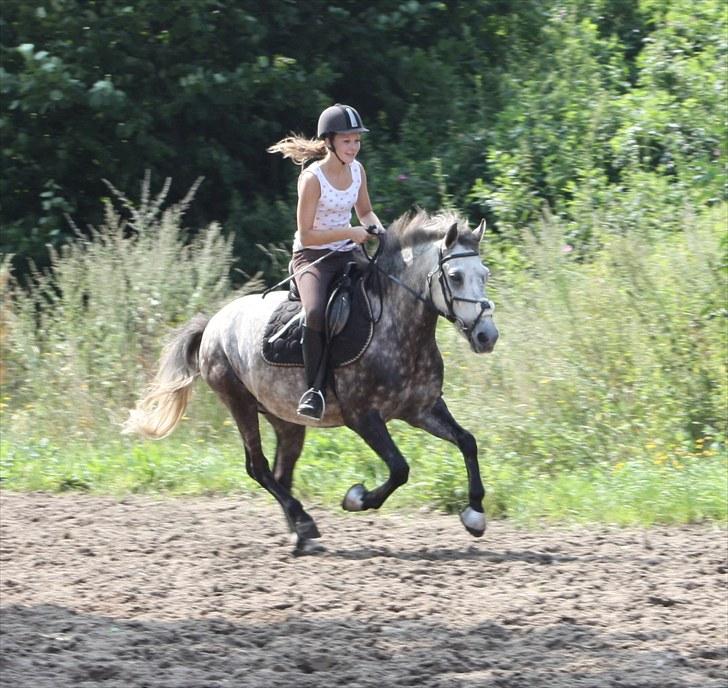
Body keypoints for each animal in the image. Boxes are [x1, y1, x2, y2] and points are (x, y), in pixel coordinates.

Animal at [124, 208, 499, 554]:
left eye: (485, 274)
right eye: (455, 276)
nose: (487, 336)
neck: (398, 327)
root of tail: (213, 323)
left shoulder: (422, 408)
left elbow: (467, 442)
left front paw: (475, 515)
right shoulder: (363, 417)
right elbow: (399, 469)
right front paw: (356, 498)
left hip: (286, 419)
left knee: (280, 472)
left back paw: (299, 534)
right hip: (238, 402)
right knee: (258, 468)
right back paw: (304, 522)